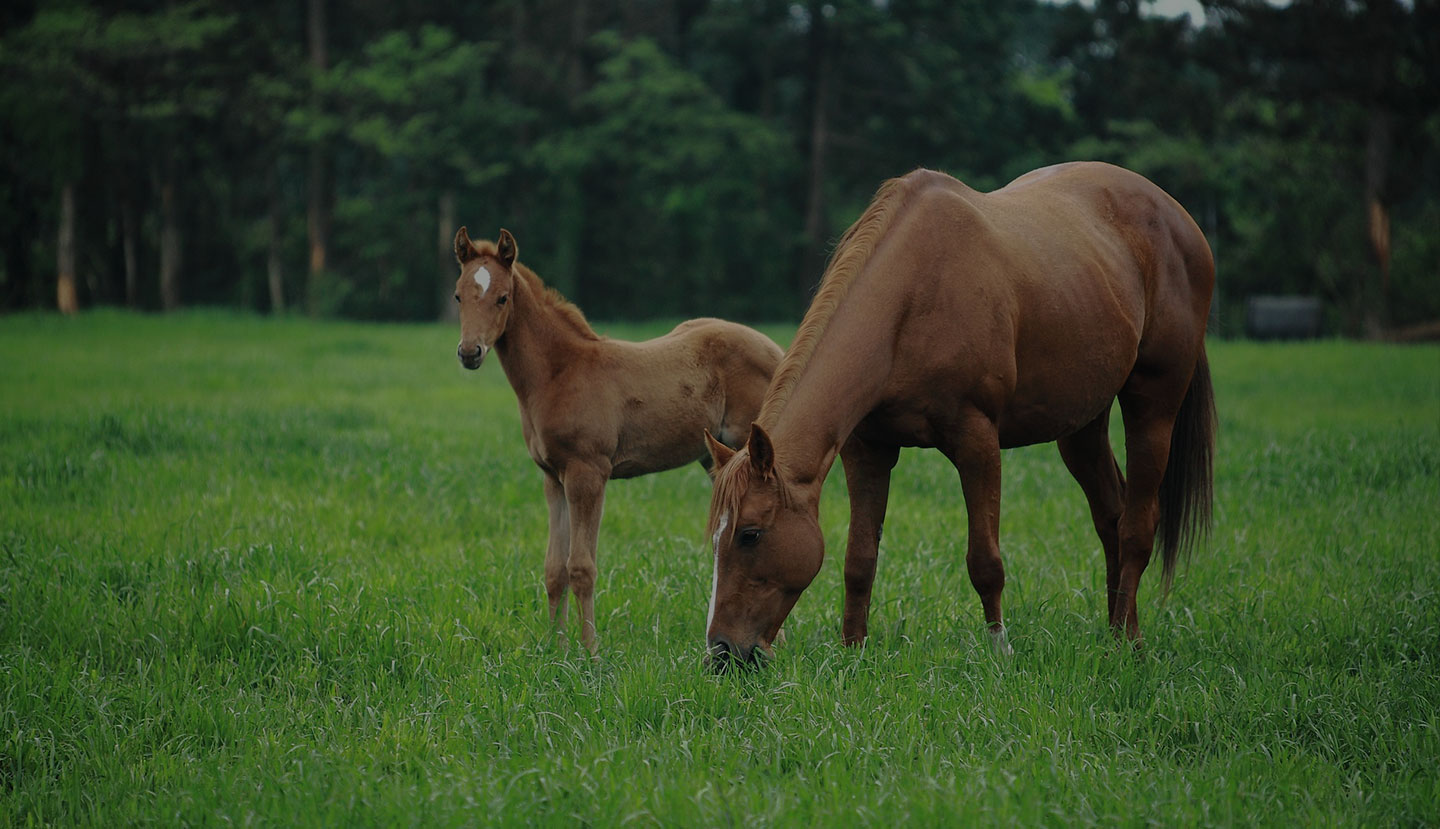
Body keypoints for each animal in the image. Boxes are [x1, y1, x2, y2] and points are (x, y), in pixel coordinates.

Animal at [452, 227, 783, 653]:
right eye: (458, 295)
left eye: (502, 297)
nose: (469, 352)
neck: (559, 373)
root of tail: (776, 350)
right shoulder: (553, 478)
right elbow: (554, 569)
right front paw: (556, 650)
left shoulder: (587, 474)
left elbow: (582, 567)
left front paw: (591, 652)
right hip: (717, 460)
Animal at [705, 160, 1215, 667]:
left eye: (750, 534)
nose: (722, 652)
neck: (911, 300)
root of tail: (1177, 217)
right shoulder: (868, 450)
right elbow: (859, 559)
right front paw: (854, 651)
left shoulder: (977, 442)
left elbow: (985, 561)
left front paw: (999, 650)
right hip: (1081, 425)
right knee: (1110, 516)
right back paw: (1111, 633)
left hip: (1154, 404)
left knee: (1136, 526)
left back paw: (1129, 642)